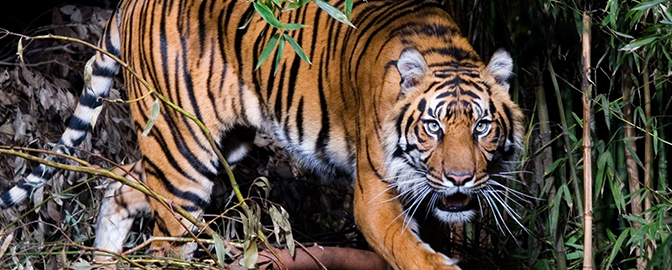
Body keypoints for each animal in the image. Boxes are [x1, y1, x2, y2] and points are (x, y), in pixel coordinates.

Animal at [0, 0, 524, 268]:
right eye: (433, 126)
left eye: (482, 127)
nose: (459, 179)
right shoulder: (374, 196)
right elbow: (410, 252)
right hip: (181, 154)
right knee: (166, 241)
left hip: (209, 146)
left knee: (119, 188)